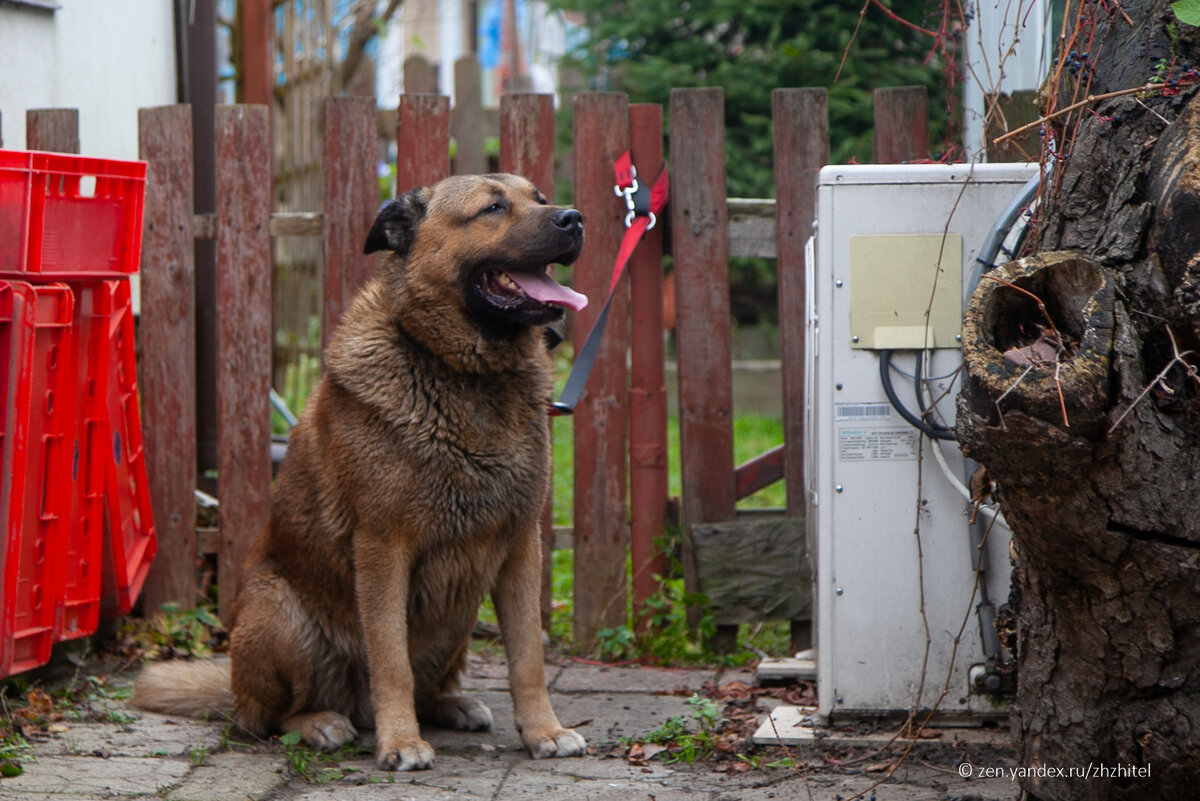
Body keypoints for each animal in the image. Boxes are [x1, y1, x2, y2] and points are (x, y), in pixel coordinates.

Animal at [132, 173, 590, 767]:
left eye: (539, 199)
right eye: (492, 208)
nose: (574, 219)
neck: (460, 373)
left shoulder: (519, 545)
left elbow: (528, 657)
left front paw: (543, 731)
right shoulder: (382, 548)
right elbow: (390, 660)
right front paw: (402, 742)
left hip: (460, 613)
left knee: (422, 684)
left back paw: (449, 705)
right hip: (276, 612)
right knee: (262, 720)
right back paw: (321, 722)